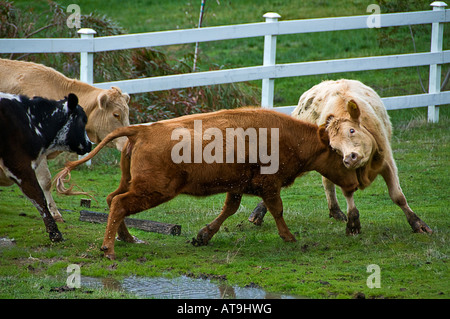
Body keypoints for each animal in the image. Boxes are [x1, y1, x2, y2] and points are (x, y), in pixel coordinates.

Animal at [53, 108, 358, 260]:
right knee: (119, 203)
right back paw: (110, 249)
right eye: (335, 151)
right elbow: (277, 209)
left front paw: (203, 235)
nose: (354, 183)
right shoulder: (269, 185)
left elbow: (229, 209)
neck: (290, 137)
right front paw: (289, 237)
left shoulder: (237, 185)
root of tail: (142, 130)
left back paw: (128, 238)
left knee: (112, 199)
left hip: (134, 183)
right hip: (155, 190)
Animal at [250, 80, 432, 235]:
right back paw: (258, 213)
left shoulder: (387, 161)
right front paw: (353, 224)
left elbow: (397, 195)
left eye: (352, 130)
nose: (350, 158)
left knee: (326, 181)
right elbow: (349, 195)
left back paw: (335, 210)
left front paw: (418, 224)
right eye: (335, 147)